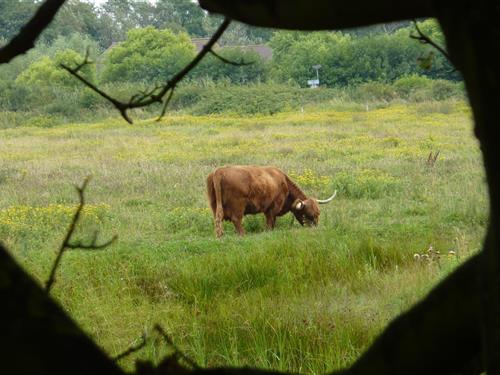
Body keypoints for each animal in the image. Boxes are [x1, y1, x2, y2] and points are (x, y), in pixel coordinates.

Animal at [205, 167, 338, 238]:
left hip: (215, 205)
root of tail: (219, 171)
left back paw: (219, 235)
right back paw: (243, 234)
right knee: (236, 219)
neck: (285, 184)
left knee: (218, 219)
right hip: (238, 206)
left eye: (318, 214)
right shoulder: (272, 208)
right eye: (306, 214)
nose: (314, 229)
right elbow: (270, 222)